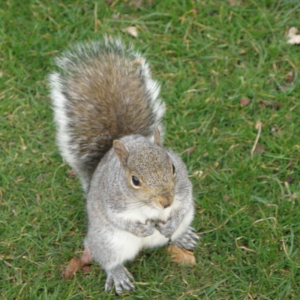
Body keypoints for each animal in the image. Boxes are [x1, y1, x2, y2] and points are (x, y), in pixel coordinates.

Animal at [48, 37, 199, 292]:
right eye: (135, 180)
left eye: (173, 168)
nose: (166, 202)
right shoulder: (113, 203)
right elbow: (119, 220)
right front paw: (141, 228)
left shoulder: (183, 191)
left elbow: (183, 204)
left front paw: (170, 223)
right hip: (107, 242)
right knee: (107, 258)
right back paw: (118, 274)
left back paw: (181, 235)